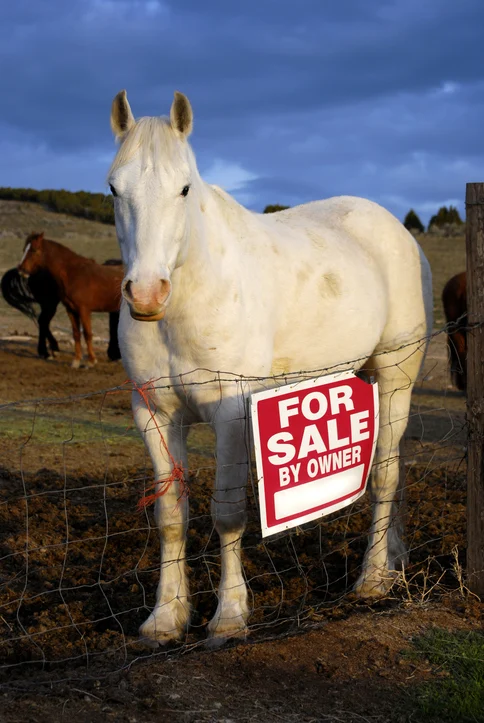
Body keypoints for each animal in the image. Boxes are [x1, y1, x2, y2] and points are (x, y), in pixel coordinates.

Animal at [17, 233, 124, 368]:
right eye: (24, 249)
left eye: (34, 250)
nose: (21, 269)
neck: (73, 274)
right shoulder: (71, 310)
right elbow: (76, 334)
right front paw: (76, 361)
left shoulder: (84, 310)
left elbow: (87, 334)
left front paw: (91, 361)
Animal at [108, 89, 433, 646]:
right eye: (113, 188)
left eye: (184, 188)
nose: (147, 293)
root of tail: (399, 233)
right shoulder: (153, 413)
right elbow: (171, 515)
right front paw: (166, 618)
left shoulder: (231, 413)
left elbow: (228, 513)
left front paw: (230, 617)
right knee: (395, 469)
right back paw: (394, 563)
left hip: (396, 379)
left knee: (386, 475)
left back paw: (372, 580)